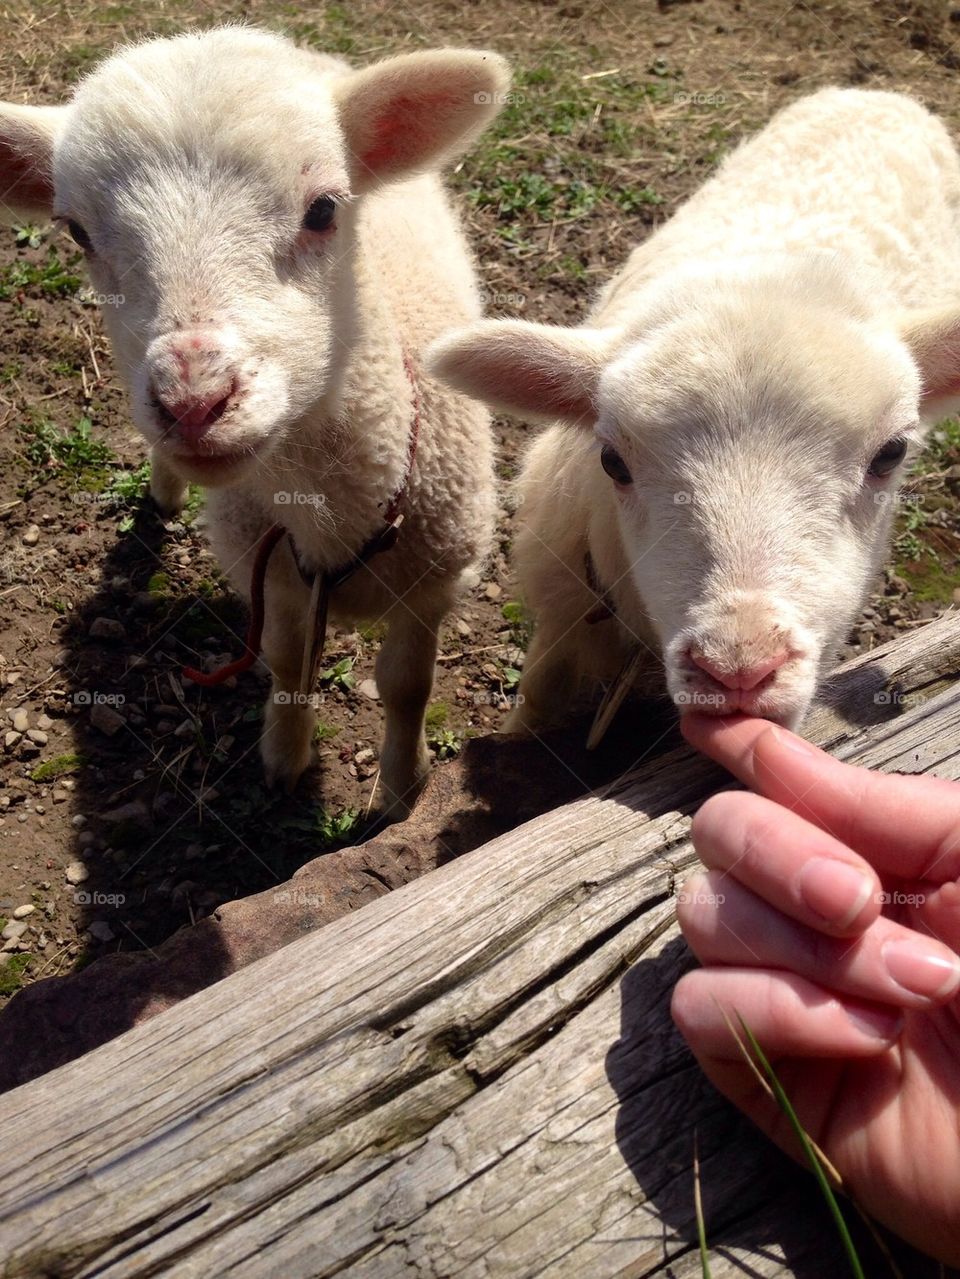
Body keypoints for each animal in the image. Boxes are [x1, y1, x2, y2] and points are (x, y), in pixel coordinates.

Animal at [0, 27, 509, 819]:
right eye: (77, 232)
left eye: (325, 209)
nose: (194, 402)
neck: (332, 518)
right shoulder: (271, 574)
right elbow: (286, 662)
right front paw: (283, 758)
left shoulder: (432, 581)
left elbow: (406, 686)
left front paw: (400, 787)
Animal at [429, 88, 960, 738]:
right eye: (613, 461)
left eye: (891, 454)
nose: (737, 670)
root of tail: (881, 94)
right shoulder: (565, 608)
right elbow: (541, 693)